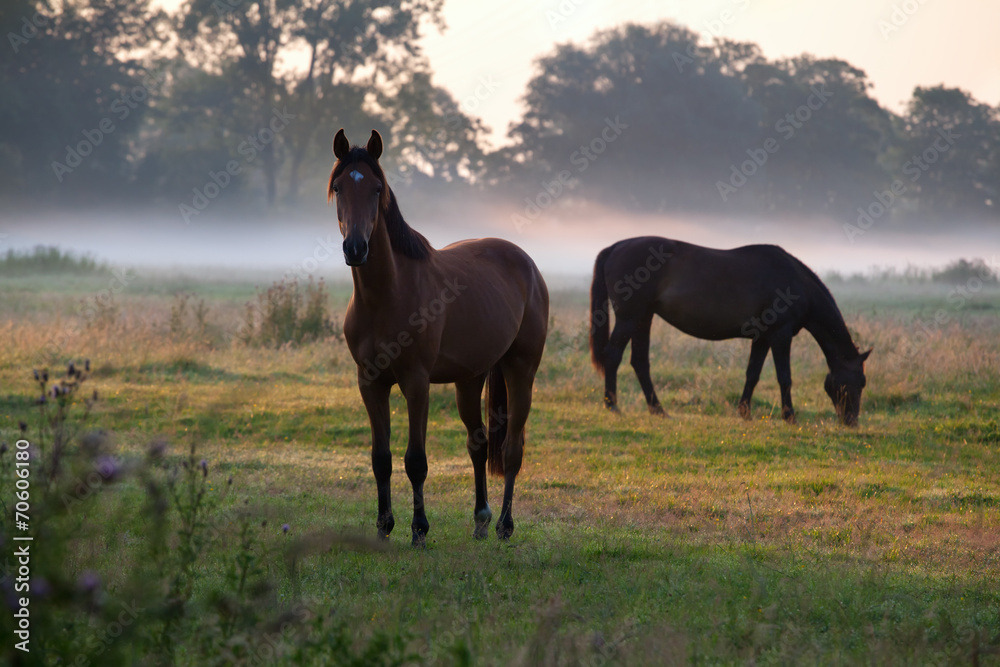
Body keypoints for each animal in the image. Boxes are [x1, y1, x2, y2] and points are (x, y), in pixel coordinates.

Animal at [329, 129, 549, 544]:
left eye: (377, 189)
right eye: (338, 188)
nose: (356, 248)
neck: (388, 294)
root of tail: (527, 263)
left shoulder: (416, 383)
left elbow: (415, 460)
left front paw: (419, 530)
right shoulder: (370, 383)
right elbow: (381, 459)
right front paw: (383, 528)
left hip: (521, 370)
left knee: (512, 449)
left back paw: (504, 524)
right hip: (470, 379)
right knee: (478, 443)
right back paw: (481, 519)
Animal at [589, 236, 871, 426]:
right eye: (857, 382)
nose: (851, 422)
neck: (795, 282)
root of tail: (615, 247)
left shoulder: (762, 338)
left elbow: (752, 374)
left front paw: (744, 412)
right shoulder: (780, 336)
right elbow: (785, 377)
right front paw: (789, 416)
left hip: (643, 318)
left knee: (639, 362)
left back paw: (657, 409)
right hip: (629, 318)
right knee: (613, 356)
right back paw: (612, 405)